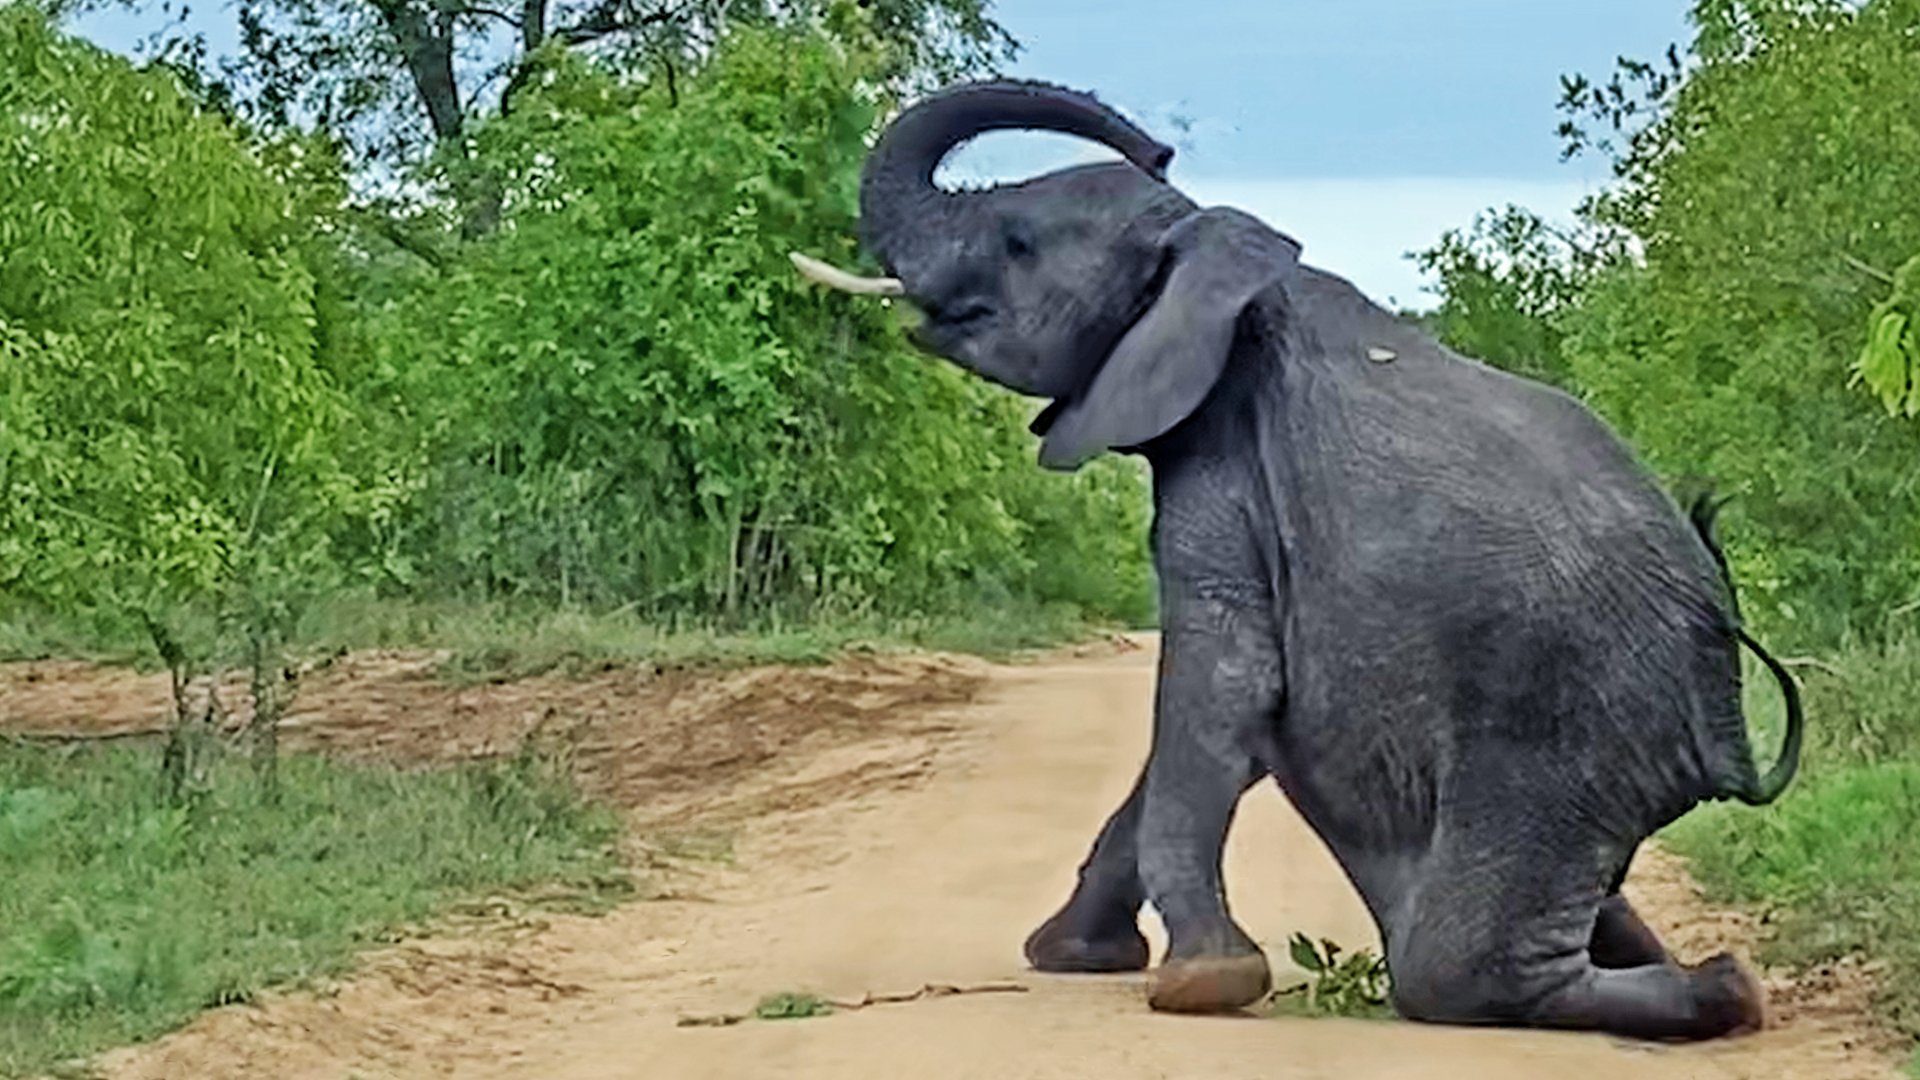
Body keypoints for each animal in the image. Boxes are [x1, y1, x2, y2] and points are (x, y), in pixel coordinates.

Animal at [790, 79, 1805, 1043]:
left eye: (1016, 242)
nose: (1161, 146)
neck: (1208, 251)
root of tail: (1727, 729)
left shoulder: (1219, 472)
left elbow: (1224, 683)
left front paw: (1202, 985)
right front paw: (1071, 957)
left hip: (1557, 740)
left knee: (1453, 965)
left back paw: (1721, 985)